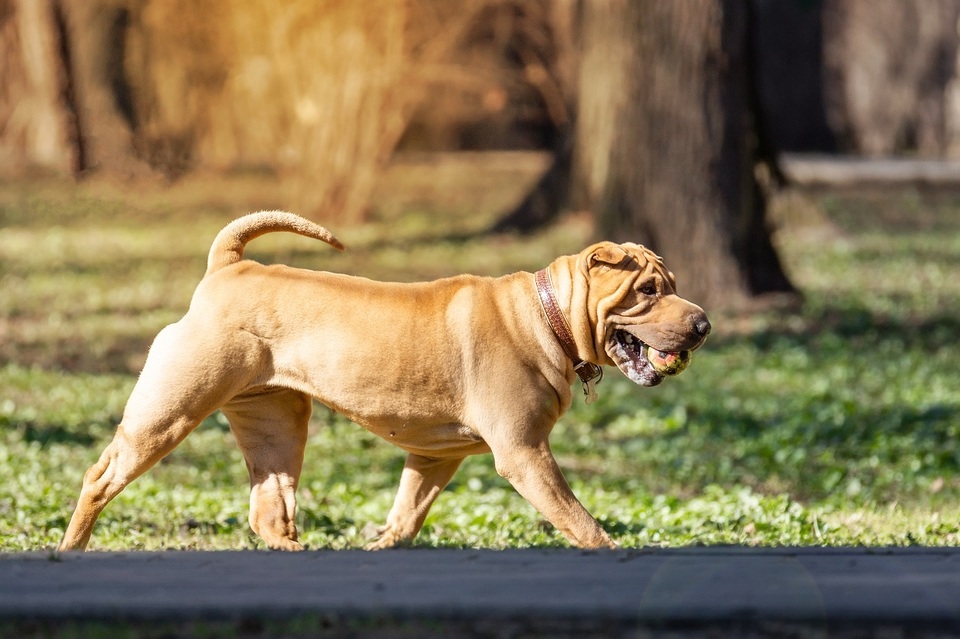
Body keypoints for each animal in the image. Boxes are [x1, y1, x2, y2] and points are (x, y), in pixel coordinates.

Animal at [58, 210, 704, 552]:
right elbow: (579, 520)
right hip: (167, 414)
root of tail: (228, 267)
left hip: (276, 425)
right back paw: (71, 549)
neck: (547, 316)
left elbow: (405, 515)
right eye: (648, 291)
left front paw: (381, 546)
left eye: (672, 285)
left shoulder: (435, 455)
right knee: (100, 477)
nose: (703, 323)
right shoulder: (525, 455)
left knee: (267, 511)